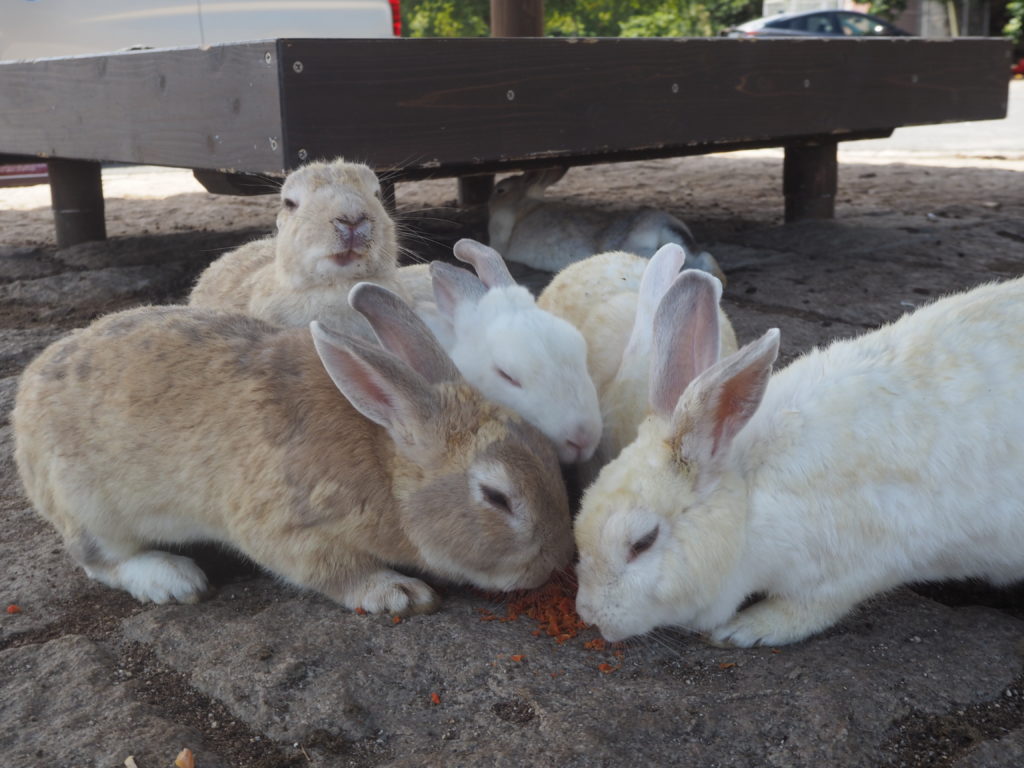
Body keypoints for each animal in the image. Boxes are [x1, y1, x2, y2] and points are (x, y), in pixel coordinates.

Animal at [13, 284, 573, 614]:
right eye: (496, 498)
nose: (552, 561)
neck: (388, 469)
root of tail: (23, 403)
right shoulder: (287, 528)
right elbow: (332, 571)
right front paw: (399, 593)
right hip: (92, 509)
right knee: (99, 560)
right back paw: (173, 580)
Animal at [487, 166, 726, 284]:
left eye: (500, 190)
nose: (487, 202)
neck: (522, 207)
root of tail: (660, 224)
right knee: (703, 259)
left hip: (637, 250)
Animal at [574, 272, 1024, 647]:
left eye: (642, 542)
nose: (589, 616)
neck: (749, 501)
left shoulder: (851, 571)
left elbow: (806, 611)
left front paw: (743, 630)